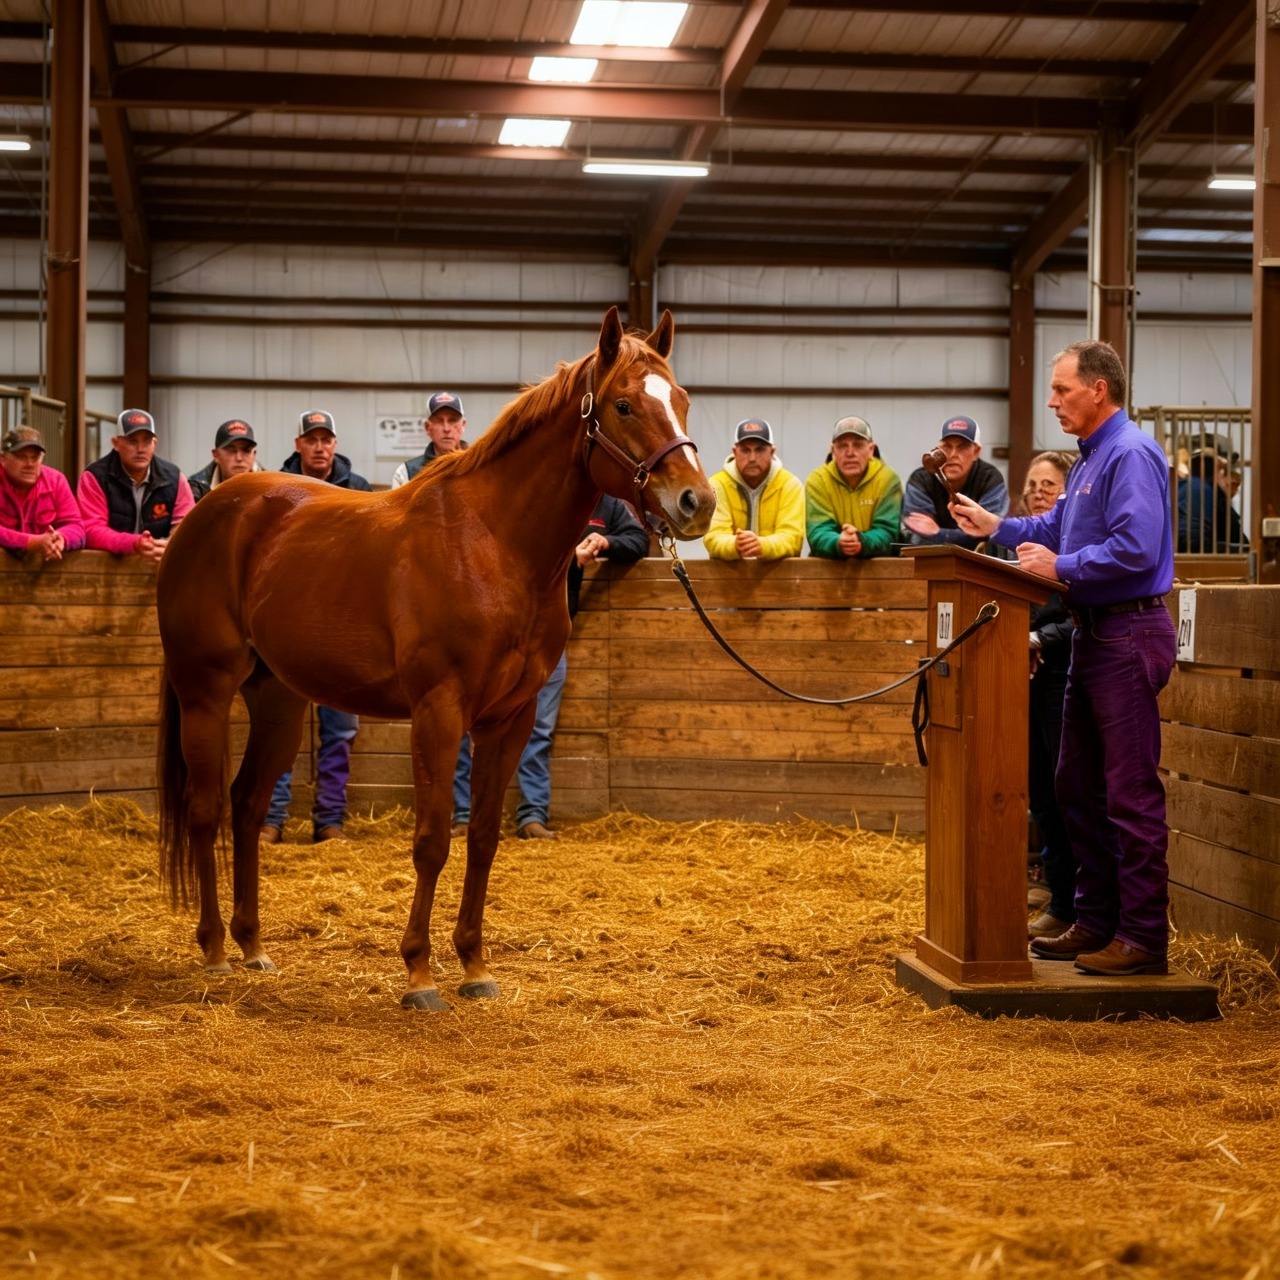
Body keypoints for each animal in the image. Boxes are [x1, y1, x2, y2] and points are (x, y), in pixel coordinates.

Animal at [155, 307, 715, 1010]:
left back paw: (253, 946)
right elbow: (432, 838)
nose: (697, 502)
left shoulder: (510, 719)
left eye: (684, 402)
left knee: (249, 804)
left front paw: (474, 965)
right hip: (204, 690)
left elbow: (482, 838)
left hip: (277, 699)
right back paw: (213, 953)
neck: (492, 544)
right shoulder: (438, 711)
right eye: (623, 405)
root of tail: (206, 513)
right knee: (206, 810)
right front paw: (419, 974)